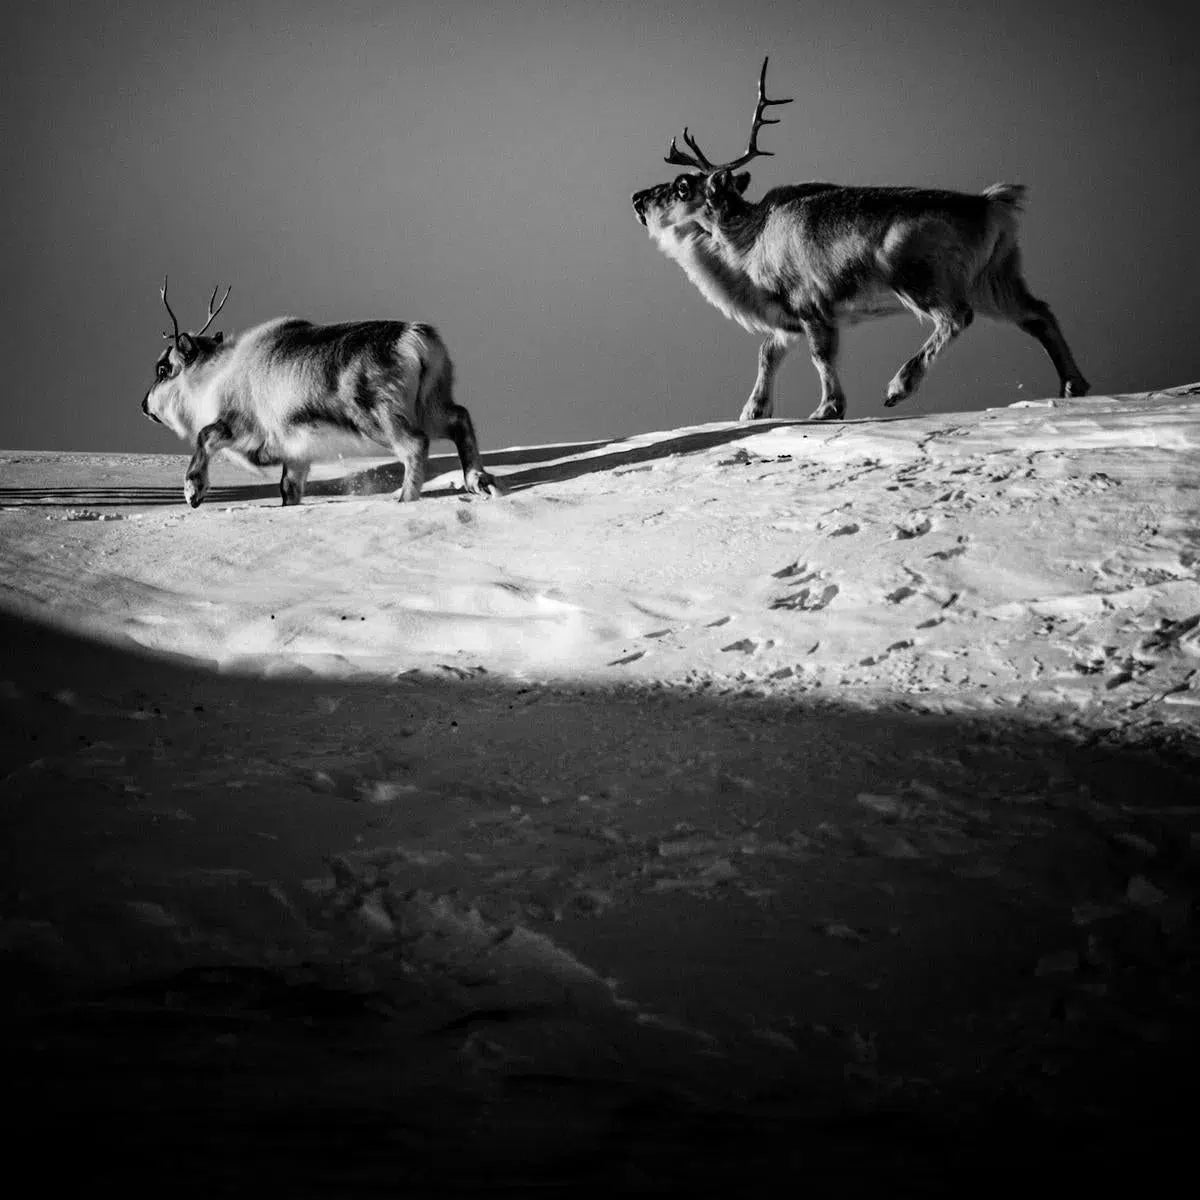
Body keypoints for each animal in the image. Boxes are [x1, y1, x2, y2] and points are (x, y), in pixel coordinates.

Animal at [142, 279, 499, 507]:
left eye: (163, 369)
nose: (144, 405)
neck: (214, 376)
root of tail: (416, 339)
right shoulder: (296, 455)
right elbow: (288, 490)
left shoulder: (237, 425)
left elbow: (204, 437)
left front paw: (193, 491)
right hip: (431, 405)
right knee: (460, 419)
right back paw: (478, 481)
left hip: (379, 416)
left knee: (415, 445)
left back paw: (403, 498)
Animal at [631, 58, 1089, 421]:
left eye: (682, 187)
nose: (637, 198)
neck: (745, 248)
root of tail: (994, 205)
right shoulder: (787, 315)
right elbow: (767, 352)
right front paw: (753, 411)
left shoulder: (810, 303)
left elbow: (820, 356)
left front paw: (827, 408)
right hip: (995, 278)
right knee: (1038, 313)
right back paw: (1073, 385)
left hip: (919, 276)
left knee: (956, 317)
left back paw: (898, 386)